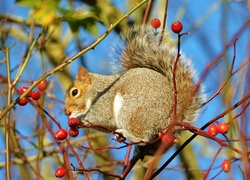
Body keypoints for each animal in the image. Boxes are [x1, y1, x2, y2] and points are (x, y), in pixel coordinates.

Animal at [64, 26, 203, 157]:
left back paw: (127, 134)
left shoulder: (104, 101)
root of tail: (168, 120)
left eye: (75, 92)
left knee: (143, 138)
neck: (96, 89)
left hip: (131, 110)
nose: (66, 112)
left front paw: (76, 116)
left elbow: (100, 117)